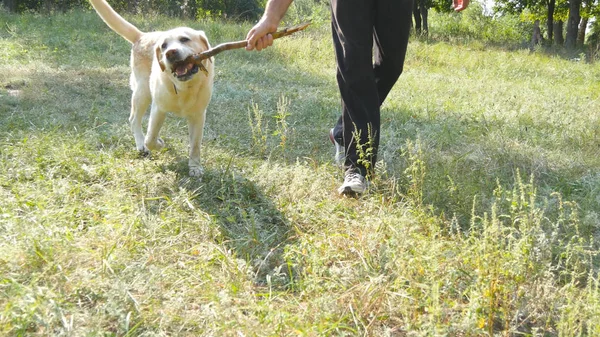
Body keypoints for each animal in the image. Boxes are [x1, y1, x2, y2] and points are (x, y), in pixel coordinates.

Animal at [88, 0, 212, 177]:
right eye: (164, 45)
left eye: (184, 39)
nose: (170, 53)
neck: (183, 87)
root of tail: (142, 36)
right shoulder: (158, 109)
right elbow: (151, 138)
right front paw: (158, 143)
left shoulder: (198, 115)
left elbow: (195, 145)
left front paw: (195, 167)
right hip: (143, 92)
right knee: (134, 120)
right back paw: (141, 145)